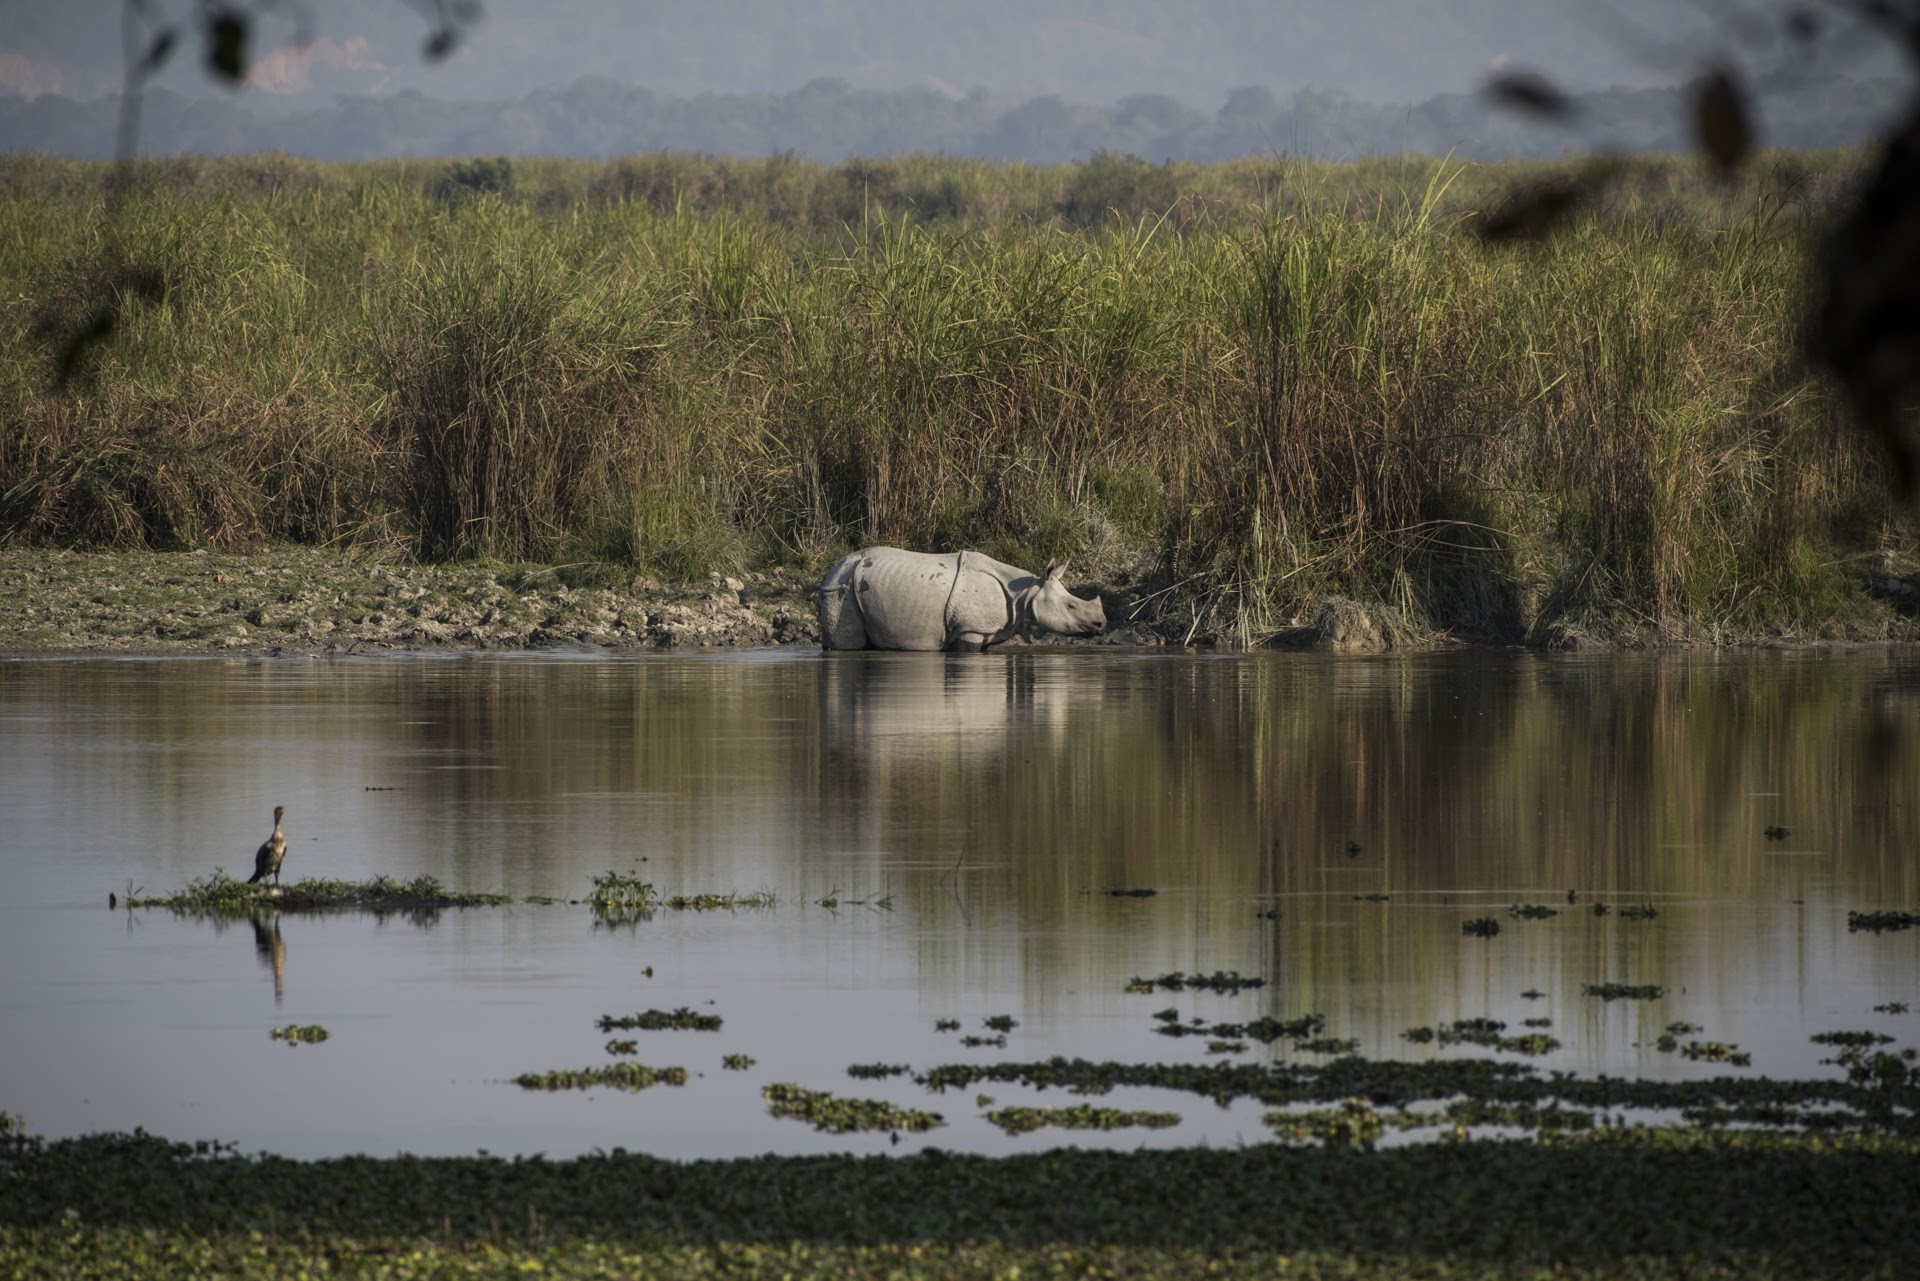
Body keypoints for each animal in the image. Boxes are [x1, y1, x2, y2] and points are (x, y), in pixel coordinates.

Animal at [817, 547, 1107, 651]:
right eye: (1071, 605)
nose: (1102, 624)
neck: (1024, 593)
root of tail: (831, 570)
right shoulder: (971, 628)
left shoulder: (985, 629)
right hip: (840, 588)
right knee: (849, 646)